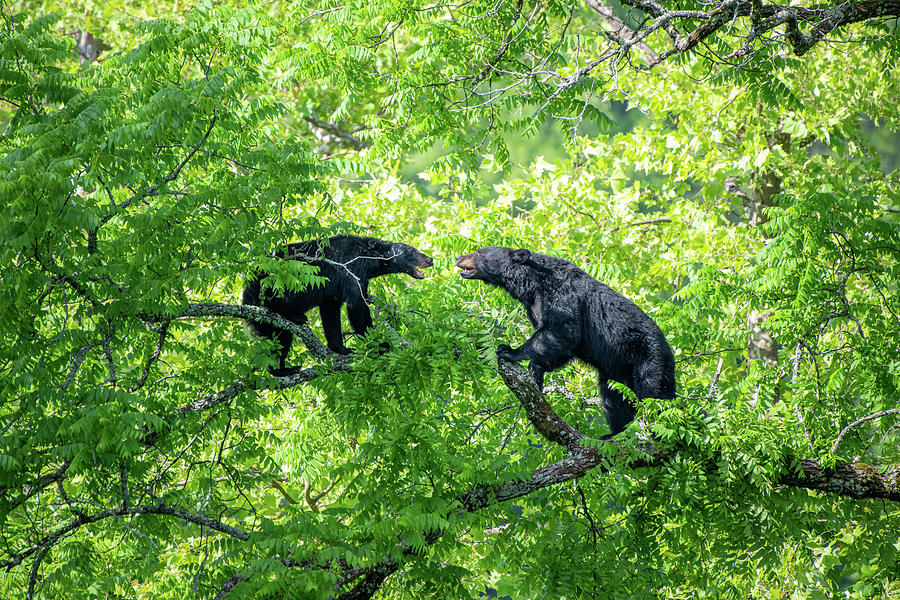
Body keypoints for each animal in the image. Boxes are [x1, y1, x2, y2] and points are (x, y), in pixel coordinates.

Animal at [243, 235, 433, 373]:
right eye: (411, 250)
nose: (430, 259)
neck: (368, 257)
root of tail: (245, 295)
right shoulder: (351, 269)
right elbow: (357, 306)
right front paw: (380, 345)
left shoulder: (338, 287)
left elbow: (331, 313)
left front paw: (341, 348)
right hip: (277, 284)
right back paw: (296, 317)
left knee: (280, 340)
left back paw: (282, 368)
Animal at [456, 246, 675, 438]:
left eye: (479, 251)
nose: (458, 258)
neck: (533, 283)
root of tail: (668, 349)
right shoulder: (533, 306)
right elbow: (560, 345)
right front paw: (536, 371)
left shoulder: (562, 294)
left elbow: (565, 331)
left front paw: (509, 350)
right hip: (616, 372)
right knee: (613, 397)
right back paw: (615, 433)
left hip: (649, 358)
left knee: (654, 393)